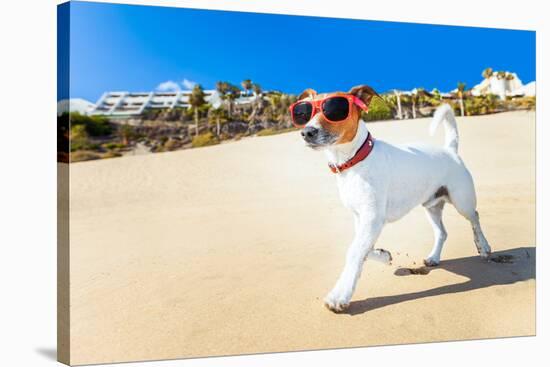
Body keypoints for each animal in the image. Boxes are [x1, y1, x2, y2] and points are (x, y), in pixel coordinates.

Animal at [292, 85, 494, 312]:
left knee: (475, 217)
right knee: (442, 232)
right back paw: (434, 257)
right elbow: (363, 248)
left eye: (334, 110)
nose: (306, 132)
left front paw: (340, 294)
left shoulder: (372, 218)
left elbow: (354, 251)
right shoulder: (362, 218)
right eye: (304, 113)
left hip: (462, 201)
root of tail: (450, 150)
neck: (354, 160)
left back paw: (483, 246)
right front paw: (383, 254)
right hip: (431, 206)